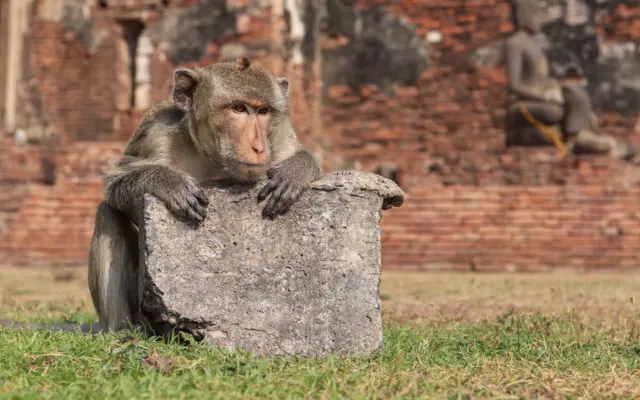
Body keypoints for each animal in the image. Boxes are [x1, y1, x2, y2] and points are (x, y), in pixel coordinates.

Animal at [87, 57, 323, 333]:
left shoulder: (281, 132)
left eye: (263, 111)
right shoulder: (155, 133)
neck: (214, 159)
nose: (258, 147)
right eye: (239, 108)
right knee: (108, 214)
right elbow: (116, 187)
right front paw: (168, 182)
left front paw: (295, 171)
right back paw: (122, 331)